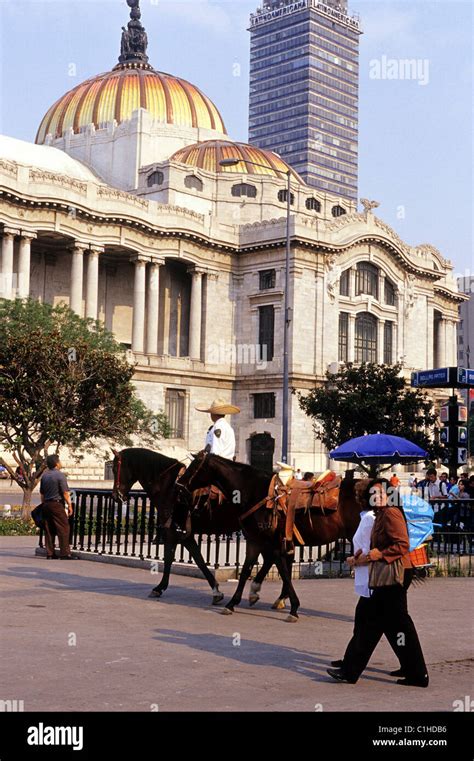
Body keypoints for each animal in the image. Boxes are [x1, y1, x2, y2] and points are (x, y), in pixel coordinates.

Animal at [178, 452, 362, 616]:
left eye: (194, 466)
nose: (179, 485)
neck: (254, 491)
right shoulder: (255, 540)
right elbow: (246, 570)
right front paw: (233, 603)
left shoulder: (272, 542)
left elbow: (283, 572)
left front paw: (293, 607)